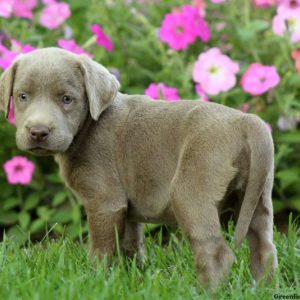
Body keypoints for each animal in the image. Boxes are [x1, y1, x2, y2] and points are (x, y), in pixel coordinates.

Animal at [0, 48, 278, 288]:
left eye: (67, 99)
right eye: (23, 96)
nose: (38, 132)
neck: (89, 125)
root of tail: (247, 121)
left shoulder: (105, 202)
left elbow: (101, 249)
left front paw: (94, 280)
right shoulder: (127, 207)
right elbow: (131, 245)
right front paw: (131, 277)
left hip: (191, 194)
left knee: (216, 252)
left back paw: (205, 291)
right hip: (257, 194)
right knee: (264, 246)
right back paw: (262, 287)